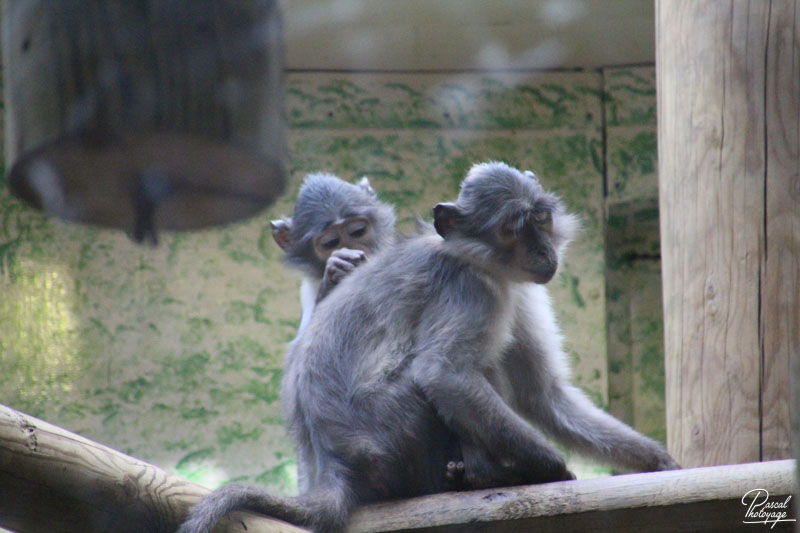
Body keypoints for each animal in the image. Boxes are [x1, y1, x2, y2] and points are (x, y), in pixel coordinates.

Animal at [178, 162, 680, 532]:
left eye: (541, 219)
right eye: (511, 230)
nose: (542, 252)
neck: (477, 259)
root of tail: (338, 464)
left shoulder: (517, 291)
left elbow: (544, 394)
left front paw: (658, 462)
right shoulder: (471, 289)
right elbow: (444, 373)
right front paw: (552, 469)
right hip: (392, 436)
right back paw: (486, 475)